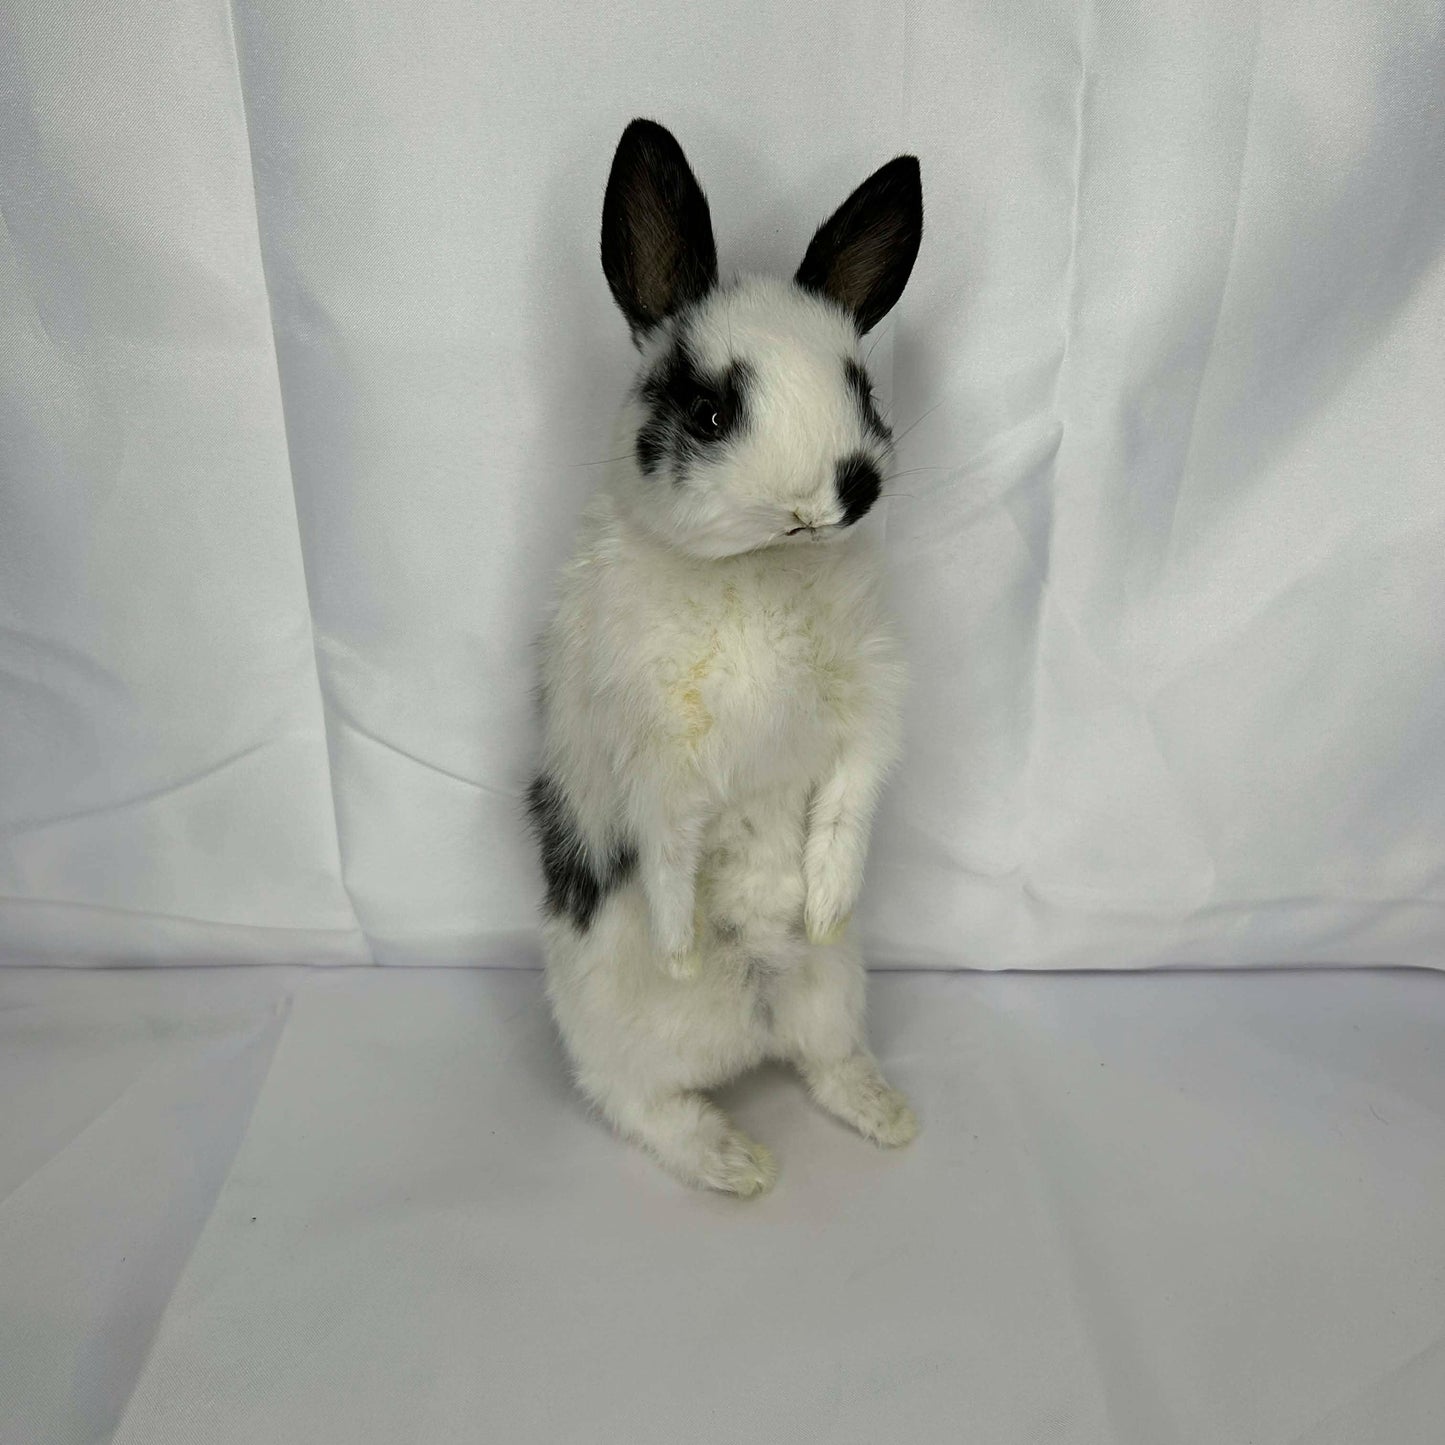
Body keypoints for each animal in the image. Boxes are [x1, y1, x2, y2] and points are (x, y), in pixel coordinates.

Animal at [529, 118, 922, 1194]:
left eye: (862, 391)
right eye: (709, 415)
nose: (836, 491)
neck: (759, 568)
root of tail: (753, 1021)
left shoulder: (869, 714)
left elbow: (848, 810)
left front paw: (825, 897)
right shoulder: (651, 748)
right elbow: (666, 847)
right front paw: (677, 944)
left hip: (835, 990)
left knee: (824, 1058)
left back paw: (885, 1113)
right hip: (610, 1038)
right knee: (637, 1105)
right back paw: (733, 1159)